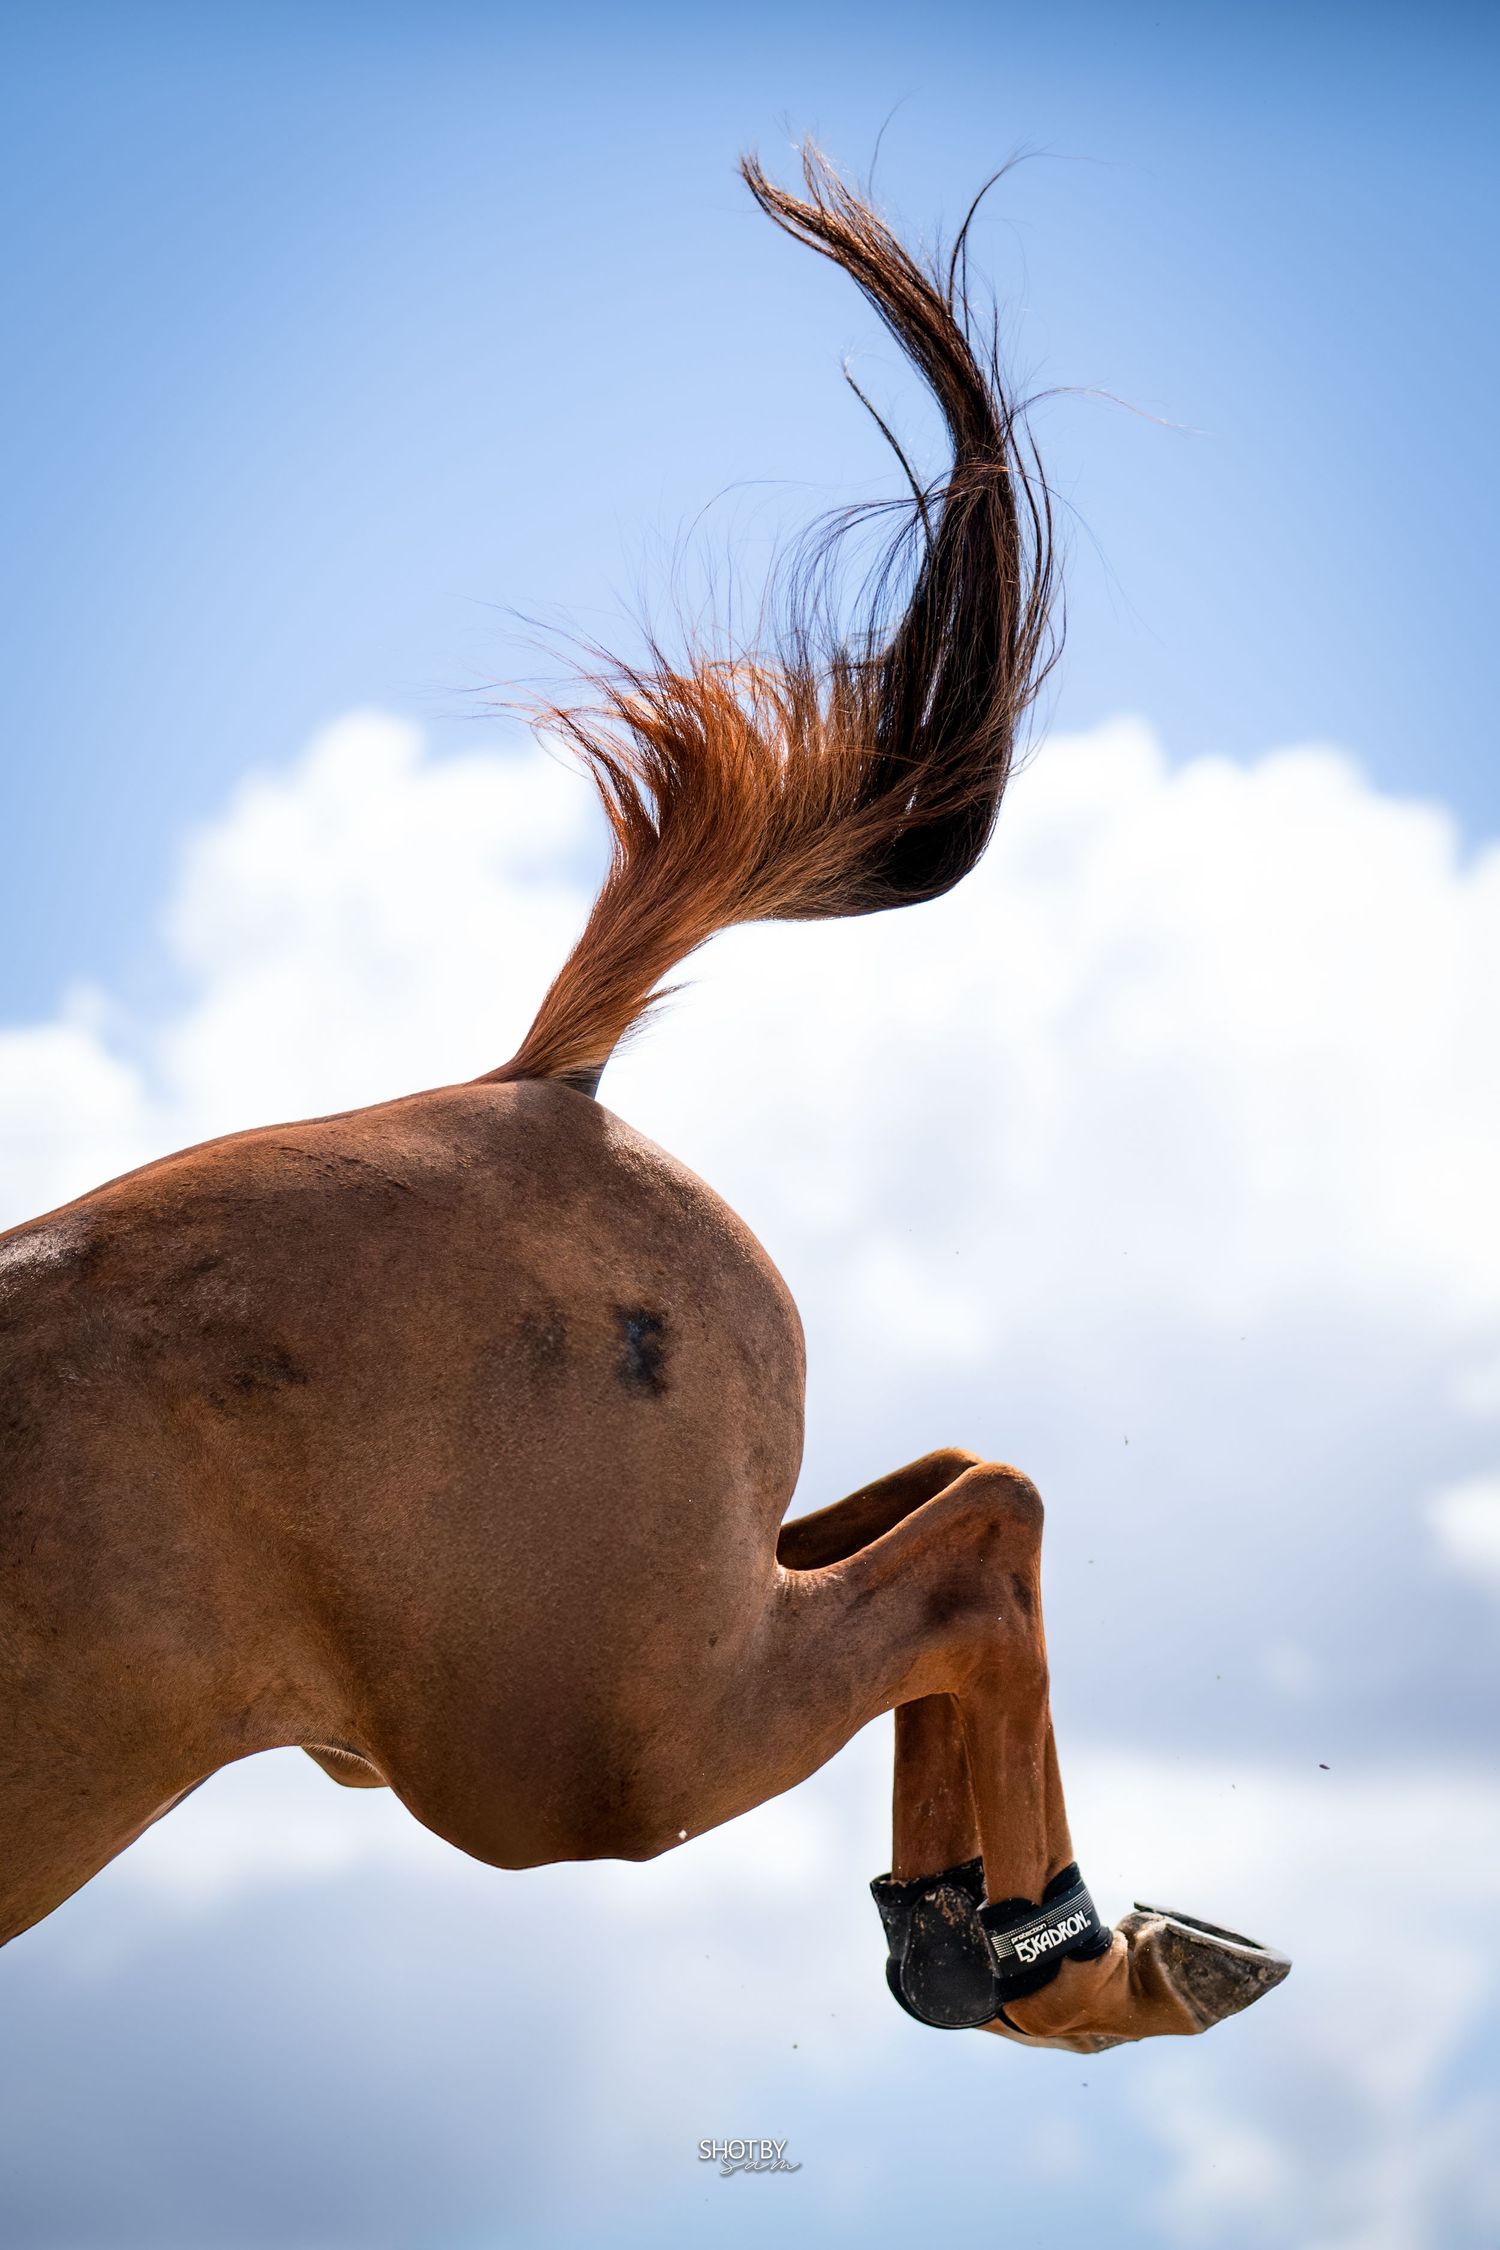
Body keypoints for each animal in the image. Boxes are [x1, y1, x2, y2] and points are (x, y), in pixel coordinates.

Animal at [0, 148, 1288, 2054]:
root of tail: (533, 1089)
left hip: (596, 1747)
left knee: (977, 1540)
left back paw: (1060, 1957)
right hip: (651, 1658)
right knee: (960, 1503)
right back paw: (997, 1945)